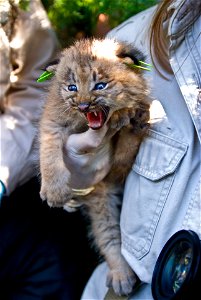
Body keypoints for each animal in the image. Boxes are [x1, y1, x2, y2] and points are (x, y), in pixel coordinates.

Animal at [38, 38, 150, 296]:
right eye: (71, 88)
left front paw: (126, 116)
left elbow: (124, 149)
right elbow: (49, 154)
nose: (83, 105)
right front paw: (54, 191)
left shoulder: (116, 166)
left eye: (100, 85)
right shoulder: (52, 124)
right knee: (107, 234)